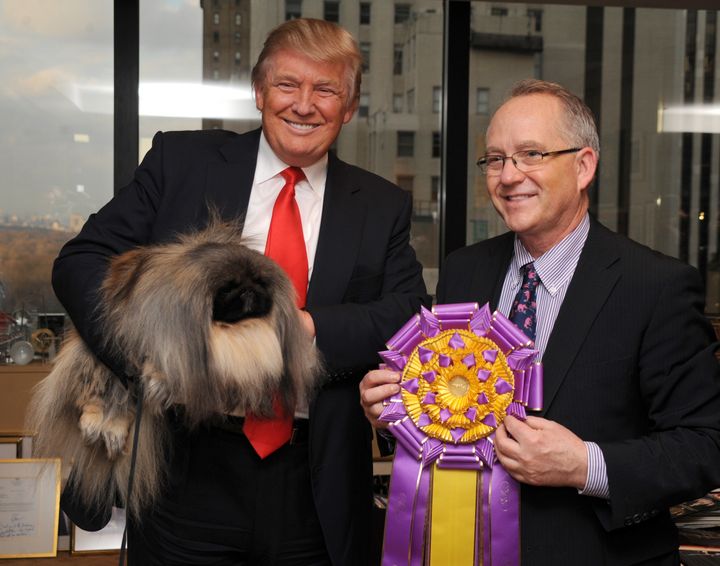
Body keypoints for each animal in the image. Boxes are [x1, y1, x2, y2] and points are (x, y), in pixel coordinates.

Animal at [26, 217, 320, 524]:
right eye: (228, 288)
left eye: (261, 282)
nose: (250, 290)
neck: (228, 329)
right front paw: (160, 380)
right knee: (104, 393)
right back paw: (102, 424)